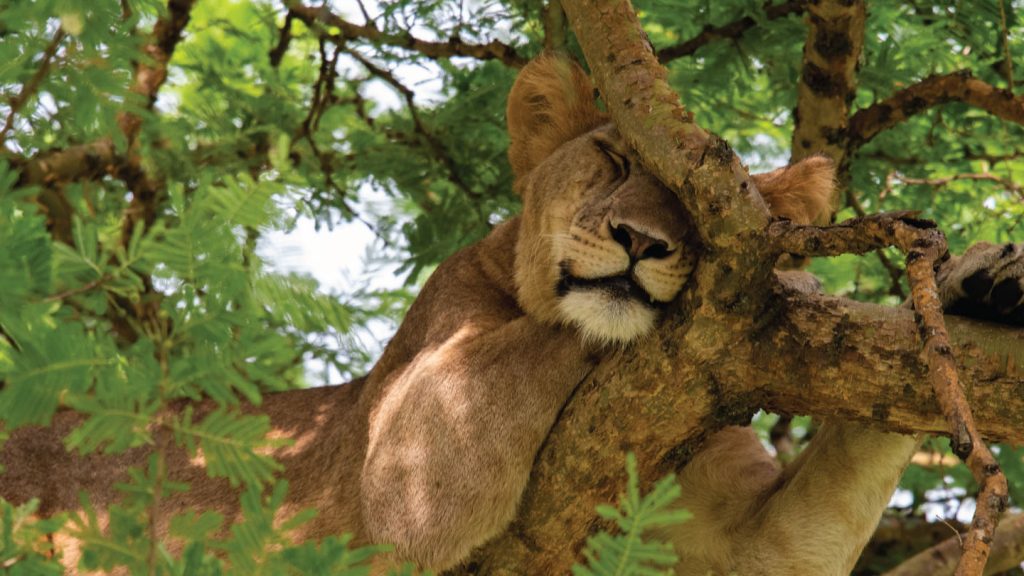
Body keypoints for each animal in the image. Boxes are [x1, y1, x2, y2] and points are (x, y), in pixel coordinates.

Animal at [2, 52, 1024, 569]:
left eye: (694, 209)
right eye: (613, 159)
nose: (642, 241)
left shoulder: (747, 545)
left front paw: (977, 283)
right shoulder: (408, 460)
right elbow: (535, 343)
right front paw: (801, 285)